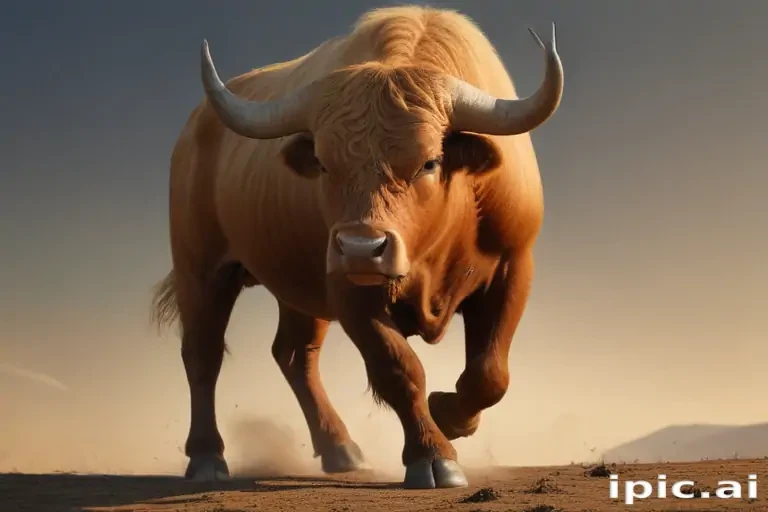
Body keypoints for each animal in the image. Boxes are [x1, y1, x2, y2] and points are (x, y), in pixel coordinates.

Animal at [150, 5, 563, 489]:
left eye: (429, 161)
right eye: (324, 163)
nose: (362, 248)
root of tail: (195, 127)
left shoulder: (513, 267)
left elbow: (490, 373)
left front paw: (449, 414)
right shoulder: (349, 289)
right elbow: (399, 367)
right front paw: (432, 455)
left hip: (296, 283)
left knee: (294, 355)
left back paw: (340, 448)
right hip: (200, 267)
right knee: (203, 352)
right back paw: (206, 458)